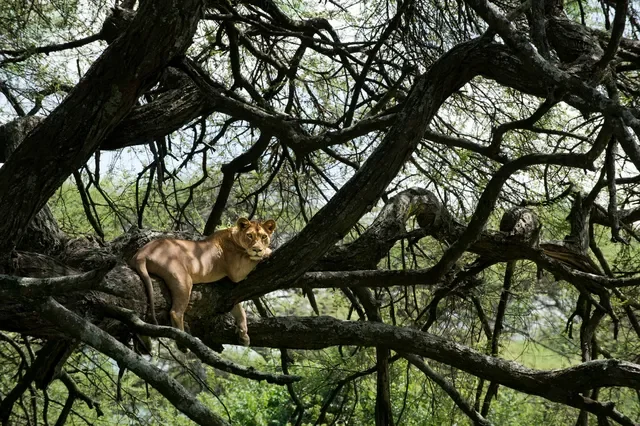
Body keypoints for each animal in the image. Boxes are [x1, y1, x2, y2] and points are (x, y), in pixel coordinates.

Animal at [129, 217, 276, 346]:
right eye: (250, 236)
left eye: (264, 237)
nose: (257, 249)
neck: (235, 237)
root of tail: (141, 253)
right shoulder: (236, 272)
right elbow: (251, 258)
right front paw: (266, 251)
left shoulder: (228, 288)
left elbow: (239, 309)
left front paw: (244, 335)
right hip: (182, 278)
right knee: (175, 312)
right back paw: (183, 343)